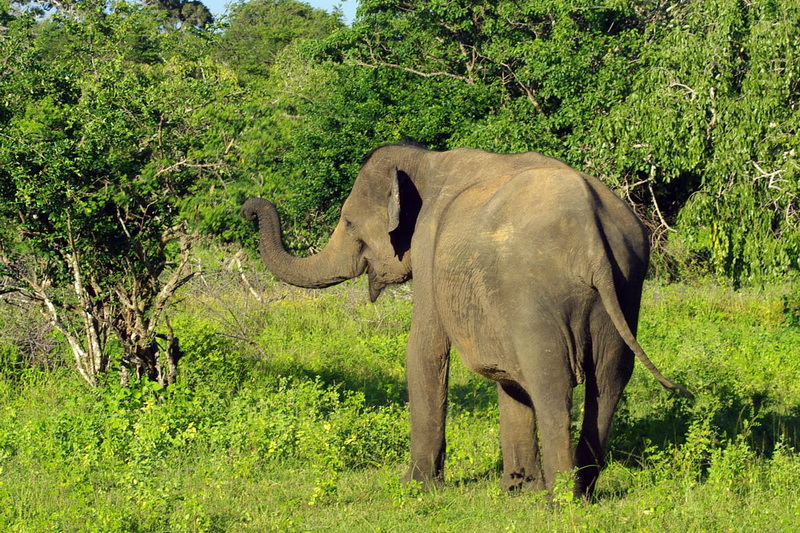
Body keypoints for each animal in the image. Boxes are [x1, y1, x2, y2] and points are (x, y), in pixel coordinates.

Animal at [241, 144, 692, 494]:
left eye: (348, 221)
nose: (248, 208)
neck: (425, 159)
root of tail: (590, 236)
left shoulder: (429, 246)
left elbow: (423, 348)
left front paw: (415, 489)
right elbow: (509, 378)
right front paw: (517, 489)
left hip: (535, 293)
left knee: (552, 382)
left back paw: (562, 501)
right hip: (625, 285)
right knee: (609, 380)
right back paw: (580, 492)